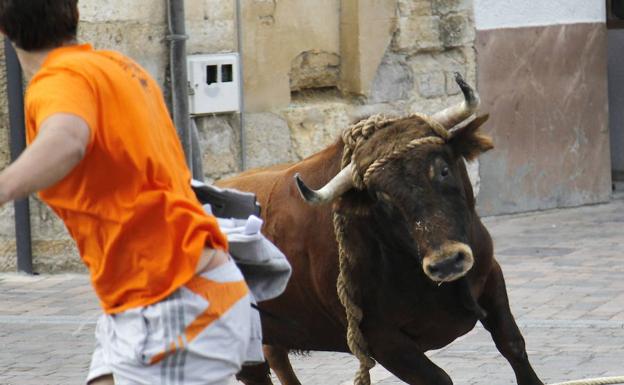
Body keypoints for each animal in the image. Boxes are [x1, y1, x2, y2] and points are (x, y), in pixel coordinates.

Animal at [218, 75, 540, 384]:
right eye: (382, 198)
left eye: (443, 169)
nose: (448, 262)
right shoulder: (381, 339)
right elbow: (439, 378)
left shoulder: (491, 275)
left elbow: (512, 344)